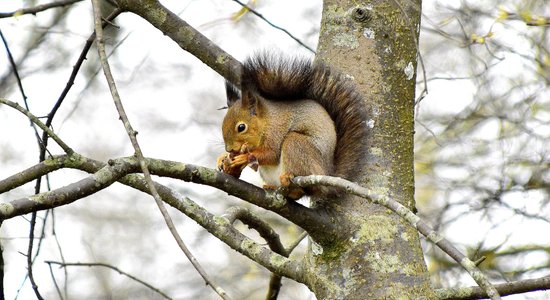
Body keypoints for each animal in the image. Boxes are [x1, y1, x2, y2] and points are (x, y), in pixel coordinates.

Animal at [218, 53, 368, 199]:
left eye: (241, 127)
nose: (229, 149)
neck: (266, 121)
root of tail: (326, 173)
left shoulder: (276, 131)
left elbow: (272, 154)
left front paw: (243, 157)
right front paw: (223, 158)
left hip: (297, 146)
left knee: (300, 190)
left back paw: (288, 181)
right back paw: (272, 186)